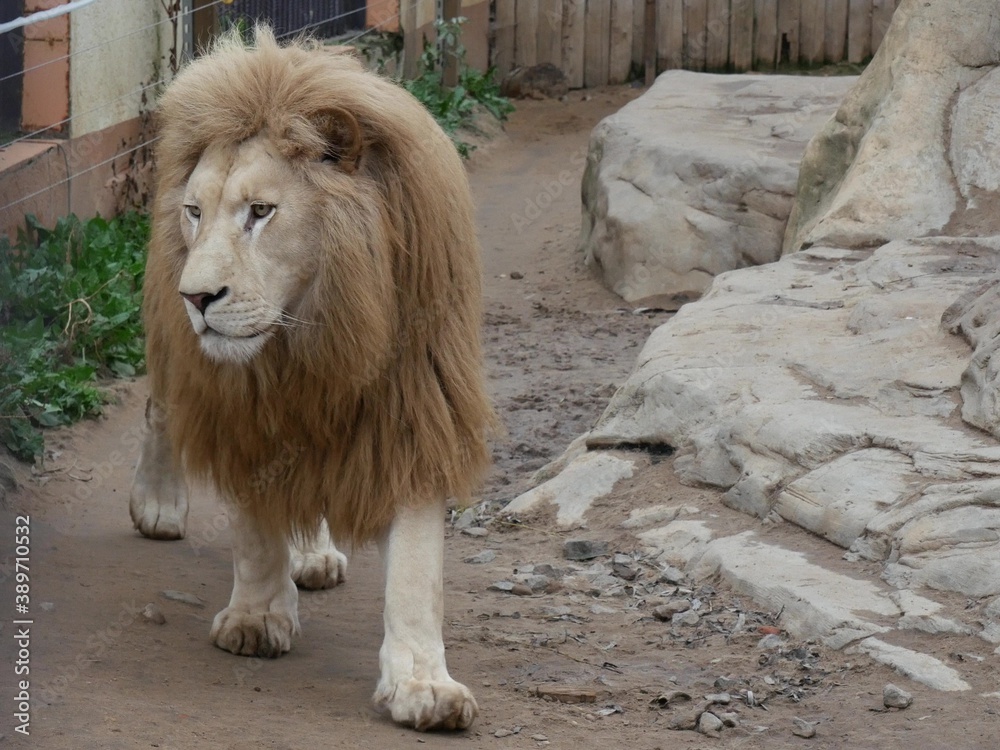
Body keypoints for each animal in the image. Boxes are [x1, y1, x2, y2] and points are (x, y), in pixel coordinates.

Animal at [127, 28, 495, 731]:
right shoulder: (240, 404)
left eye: (261, 211)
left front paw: (423, 684)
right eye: (195, 212)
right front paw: (257, 616)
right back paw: (158, 501)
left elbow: (417, 566)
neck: (316, 327)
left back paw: (312, 554)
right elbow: (253, 525)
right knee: (160, 404)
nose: (197, 298)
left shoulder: (416, 403)